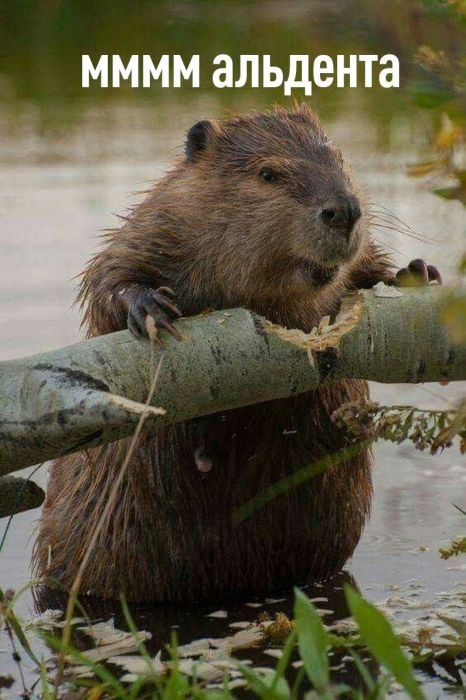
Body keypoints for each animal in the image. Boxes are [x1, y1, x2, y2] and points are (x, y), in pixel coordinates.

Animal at [33, 102, 440, 600]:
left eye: (340, 158)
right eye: (268, 173)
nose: (343, 210)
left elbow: (367, 266)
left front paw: (415, 271)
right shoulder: (159, 222)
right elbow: (109, 276)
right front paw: (149, 308)